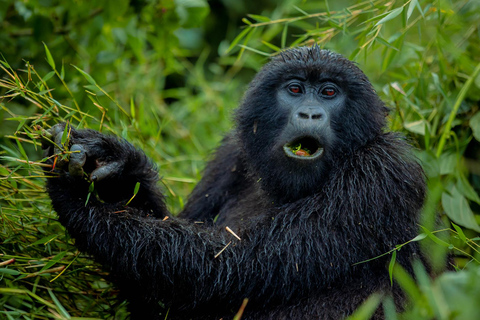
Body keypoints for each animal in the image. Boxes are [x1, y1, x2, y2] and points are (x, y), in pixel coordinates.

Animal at [41, 46, 424, 318]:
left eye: (330, 93)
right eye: (295, 89)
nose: (310, 113)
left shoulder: (380, 172)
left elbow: (226, 265)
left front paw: (78, 204)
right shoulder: (231, 155)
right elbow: (157, 302)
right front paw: (121, 169)